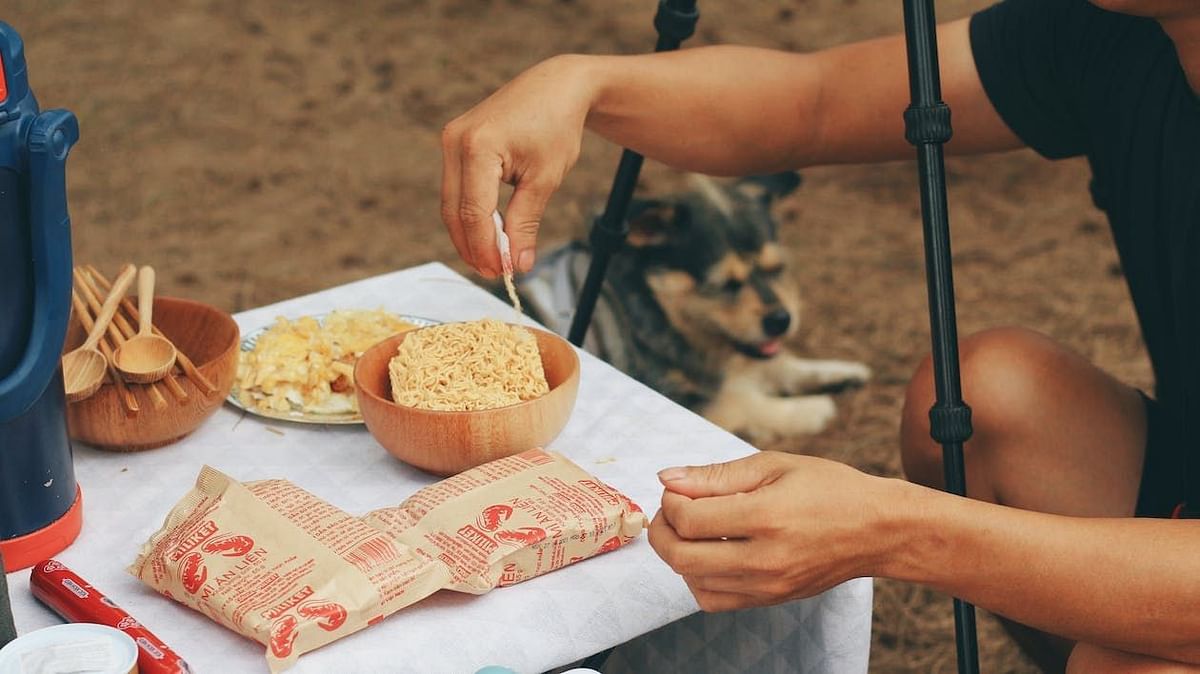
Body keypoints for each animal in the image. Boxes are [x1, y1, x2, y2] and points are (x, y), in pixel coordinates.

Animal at [511, 171, 868, 441]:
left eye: (775, 269)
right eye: (727, 284)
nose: (782, 320)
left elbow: (782, 365)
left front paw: (843, 372)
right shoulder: (677, 393)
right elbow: (745, 401)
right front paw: (812, 409)